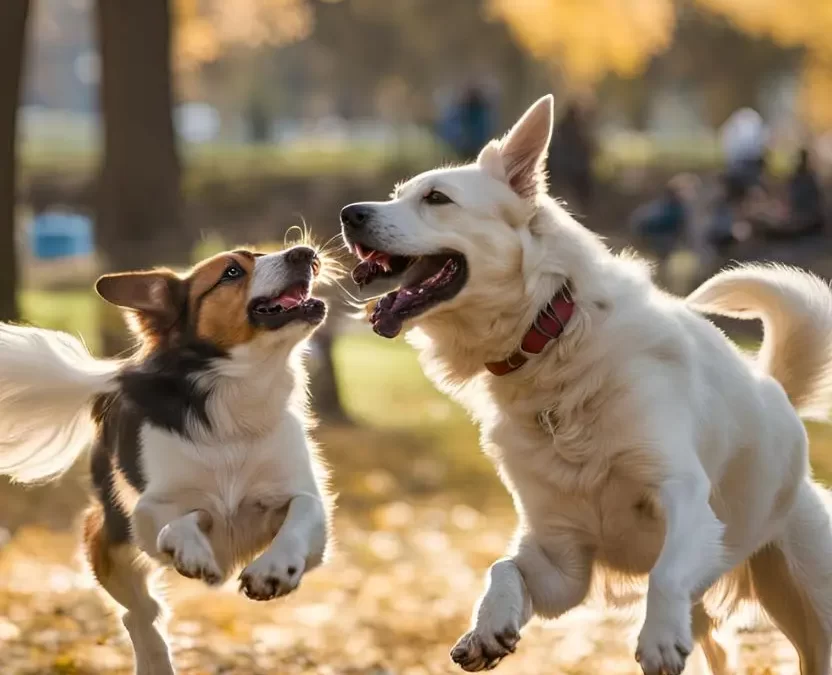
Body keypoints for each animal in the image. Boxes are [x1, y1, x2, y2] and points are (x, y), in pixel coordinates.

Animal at [342, 96, 832, 675]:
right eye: (398, 194)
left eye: (437, 198)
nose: (349, 214)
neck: (553, 340)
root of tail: (780, 398)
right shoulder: (561, 558)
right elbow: (502, 567)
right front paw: (488, 628)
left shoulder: (682, 492)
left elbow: (665, 571)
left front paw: (658, 636)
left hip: (810, 603)